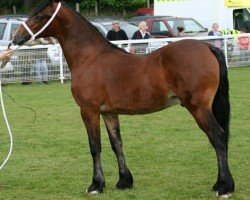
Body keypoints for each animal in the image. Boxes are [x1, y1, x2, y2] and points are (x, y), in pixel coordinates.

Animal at [11, 0, 234, 197]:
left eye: (40, 16)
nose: (16, 37)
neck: (90, 57)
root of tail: (207, 47)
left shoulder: (89, 111)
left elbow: (95, 146)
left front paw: (96, 185)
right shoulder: (109, 113)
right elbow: (116, 144)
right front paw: (124, 181)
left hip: (198, 108)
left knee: (217, 136)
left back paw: (225, 188)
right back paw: (219, 184)